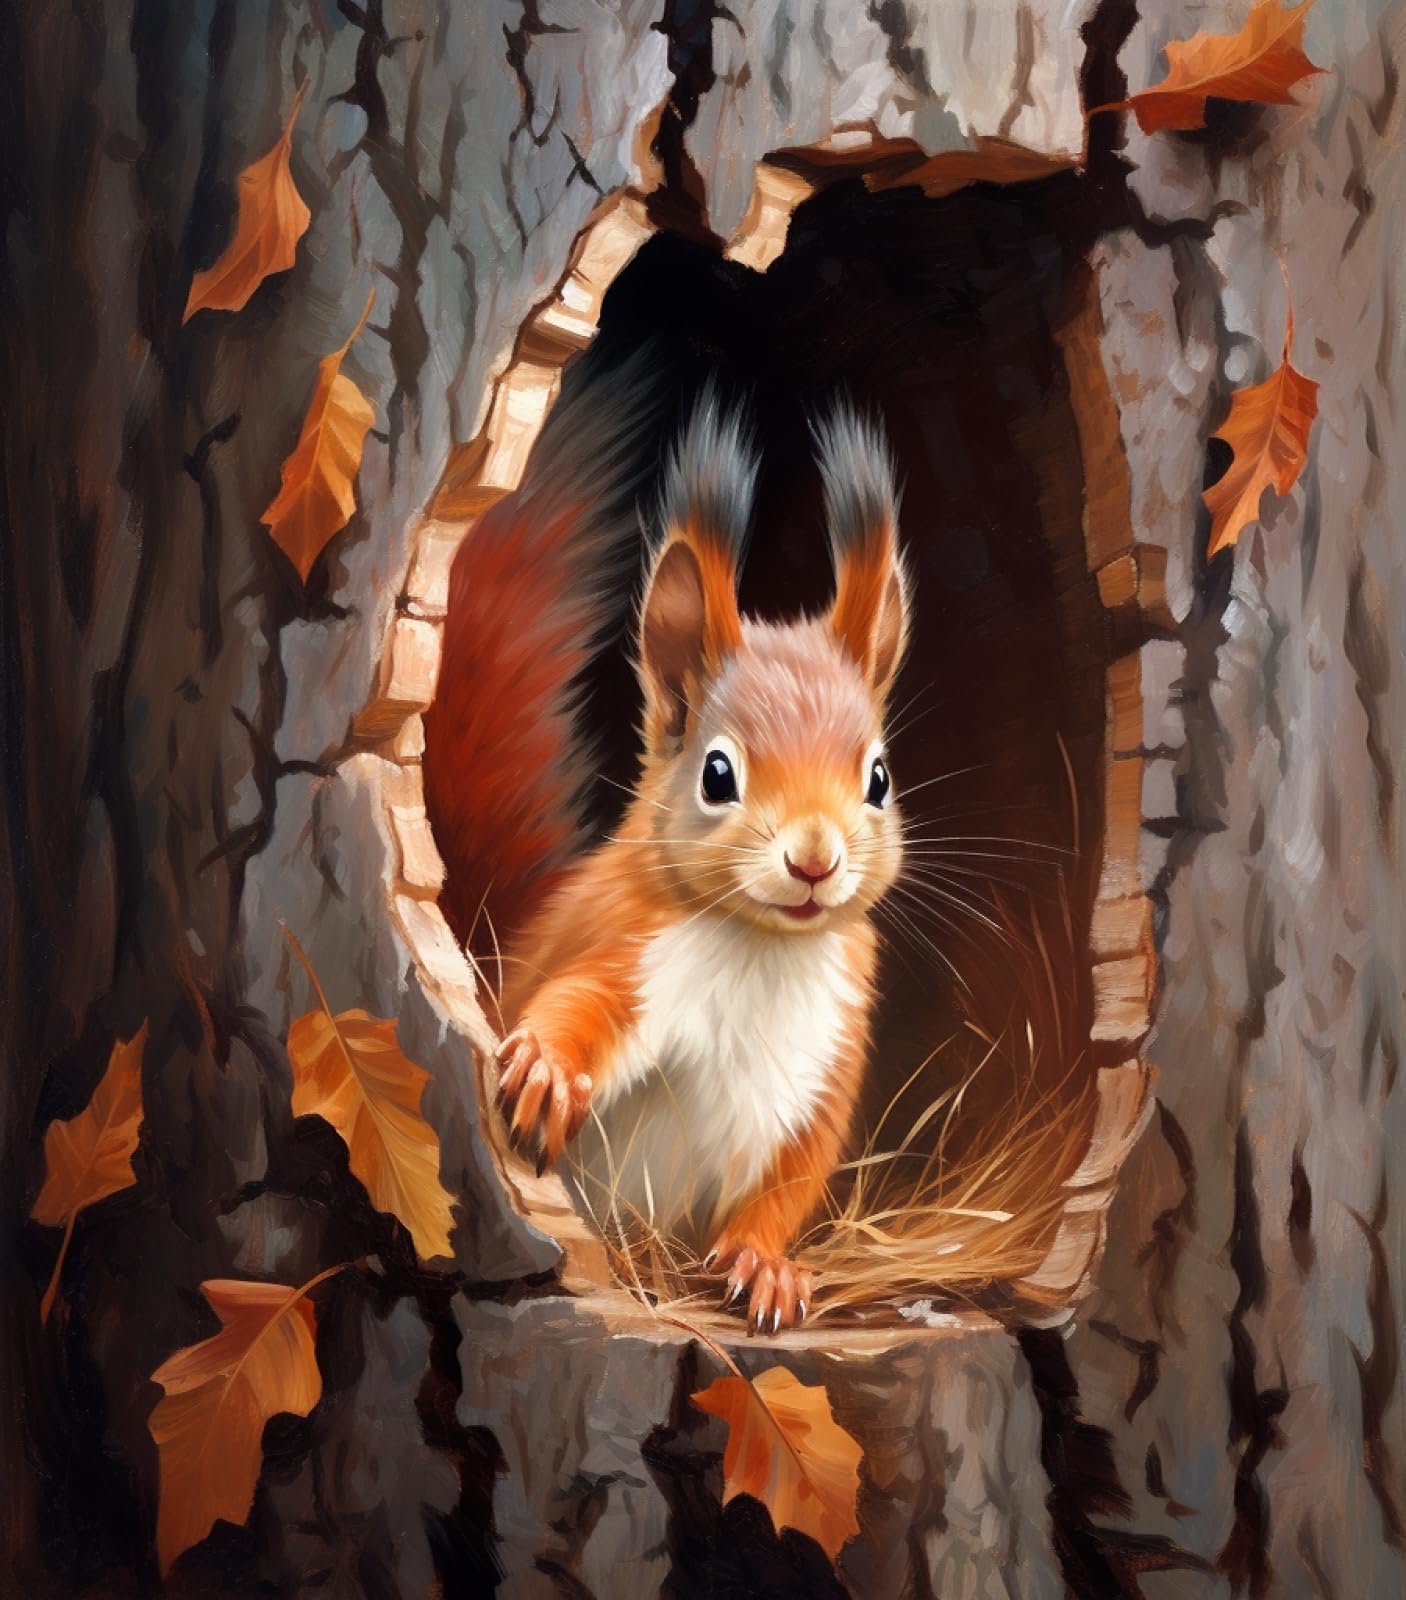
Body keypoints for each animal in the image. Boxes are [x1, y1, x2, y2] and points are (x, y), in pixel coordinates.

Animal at [424, 356, 911, 1332]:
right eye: (717, 774)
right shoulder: (632, 957)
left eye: (878, 778)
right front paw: (546, 1075)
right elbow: (579, 1009)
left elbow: (794, 1177)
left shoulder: (827, 1058)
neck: (765, 950)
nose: (814, 860)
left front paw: (767, 1267)